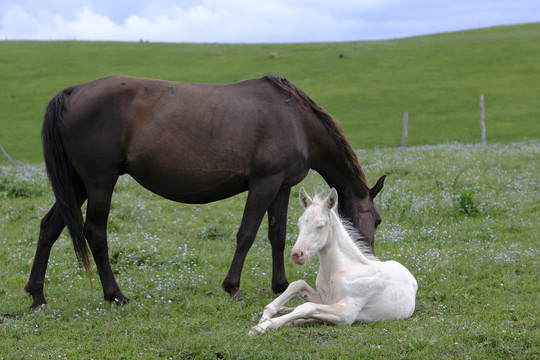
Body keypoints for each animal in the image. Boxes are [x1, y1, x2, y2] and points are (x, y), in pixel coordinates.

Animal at [24, 74, 384, 308]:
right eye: (378, 220)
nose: (369, 265)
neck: (294, 120)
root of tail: (72, 92)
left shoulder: (282, 186)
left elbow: (277, 235)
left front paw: (279, 285)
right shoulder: (264, 183)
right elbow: (247, 234)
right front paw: (233, 288)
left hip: (76, 185)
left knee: (49, 227)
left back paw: (37, 295)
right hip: (99, 182)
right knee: (95, 232)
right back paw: (116, 295)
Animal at [249, 187, 418, 336]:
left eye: (320, 225)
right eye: (299, 223)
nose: (297, 254)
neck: (337, 271)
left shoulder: (346, 313)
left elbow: (306, 308)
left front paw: (262, 327)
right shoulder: (325, 300)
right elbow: (298, 284)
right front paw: (265, 316)